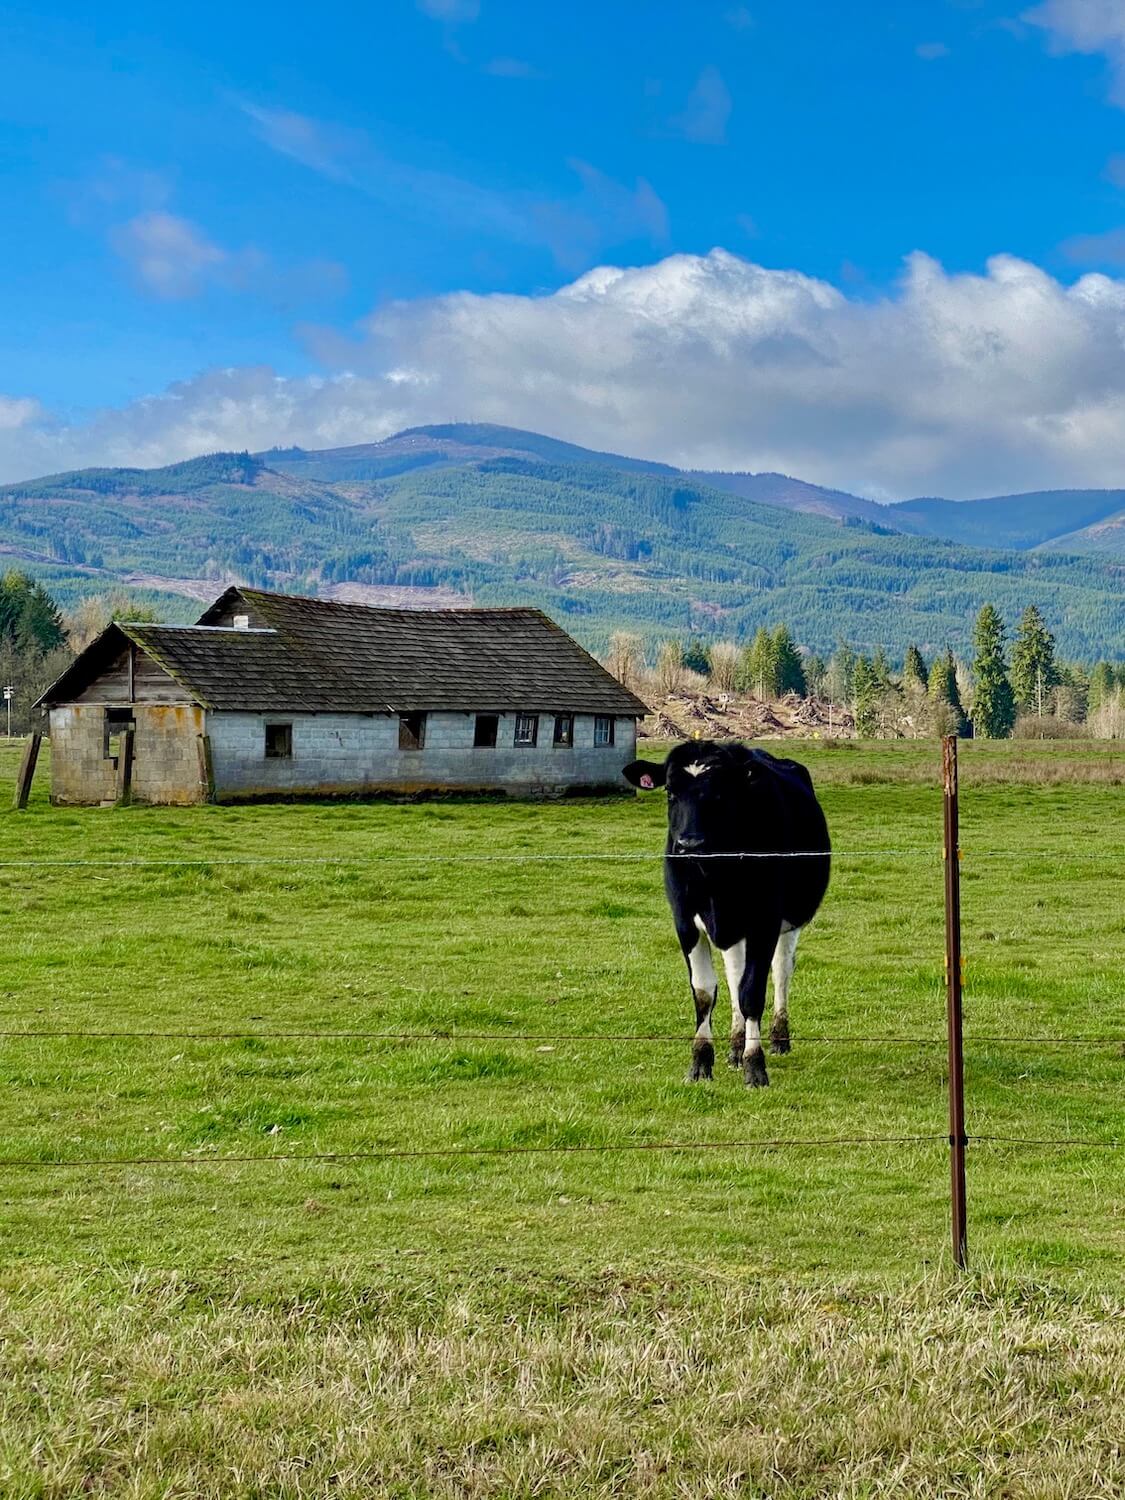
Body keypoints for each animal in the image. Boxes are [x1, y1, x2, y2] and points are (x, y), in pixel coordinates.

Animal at [621, 741, 834, 1086]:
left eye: (719, 794)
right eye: (671, 793)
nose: (689, 843)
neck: (713, 877)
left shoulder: (764, 921)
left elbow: (752, 993)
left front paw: (755, 1064)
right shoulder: (685, 921)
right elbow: (705, 992)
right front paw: (700, 1062)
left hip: (789, 921)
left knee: (781, 971)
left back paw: (778, 1037)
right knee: (734, 974)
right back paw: (735, 1045)